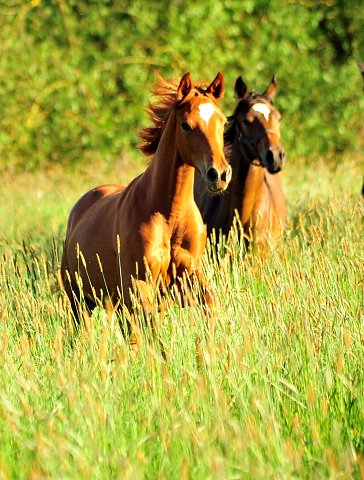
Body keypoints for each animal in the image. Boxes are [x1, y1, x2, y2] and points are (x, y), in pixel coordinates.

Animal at [59, 73, 230, 320]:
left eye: (224, 122)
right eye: (185, 125)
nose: (219, 174)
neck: (169, 215)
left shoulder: (188, 274)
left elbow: (211, 302)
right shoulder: (138, 286)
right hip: (80, 300)